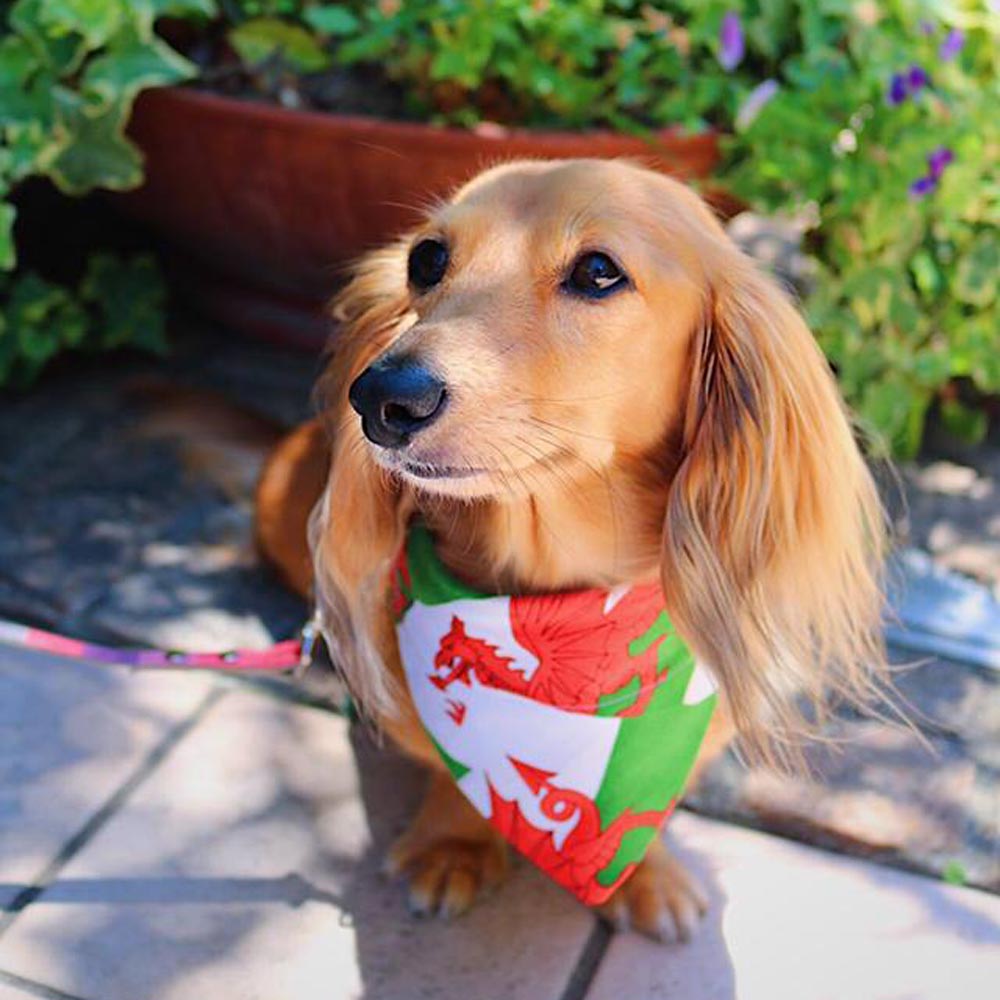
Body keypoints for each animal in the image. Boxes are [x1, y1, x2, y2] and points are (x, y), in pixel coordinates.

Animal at [254, 156, 888, 936]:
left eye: (597, 270)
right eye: (426, 259)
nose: (382, 398)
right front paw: (453, 843)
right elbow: (451, 766)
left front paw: (645, 874)